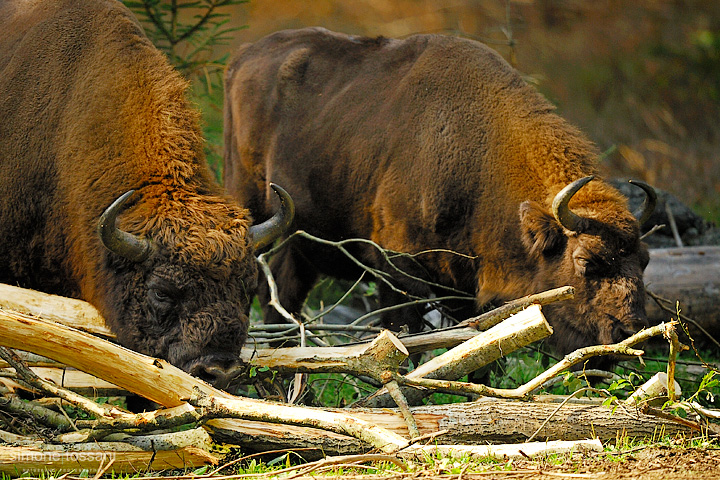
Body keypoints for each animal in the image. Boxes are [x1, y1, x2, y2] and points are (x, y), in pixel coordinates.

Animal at [225, 26, 660, 356]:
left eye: (644, 260)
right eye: (586, 261)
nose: (630, 332)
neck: (482, 151)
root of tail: (243, 56)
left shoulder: (468, 288)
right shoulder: (398, 271)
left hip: (298, 240)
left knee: (281, 295)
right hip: (252, 206)